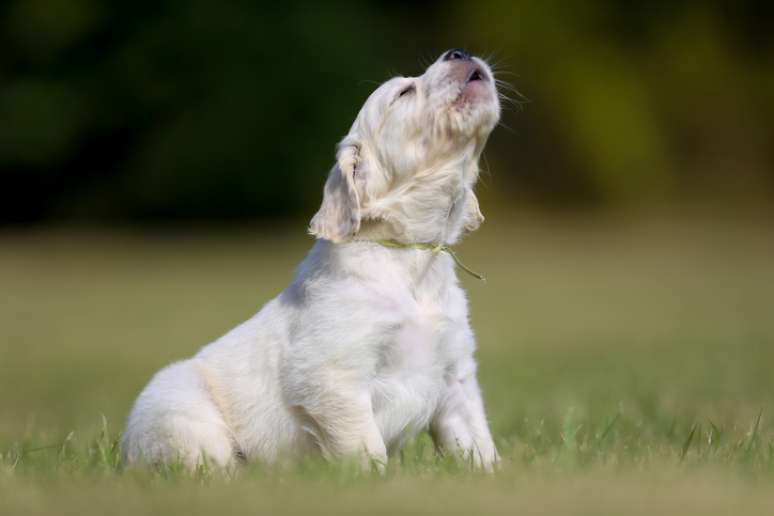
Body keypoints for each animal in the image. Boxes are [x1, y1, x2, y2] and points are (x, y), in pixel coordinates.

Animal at [119, 48, 500, 472]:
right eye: (403, 93)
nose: (458, 53)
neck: (409, 255)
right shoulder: (335, 378)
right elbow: (366, 448)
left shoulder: (455, 377)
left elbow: (476, 442)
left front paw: (492, 474)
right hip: (182, 416)